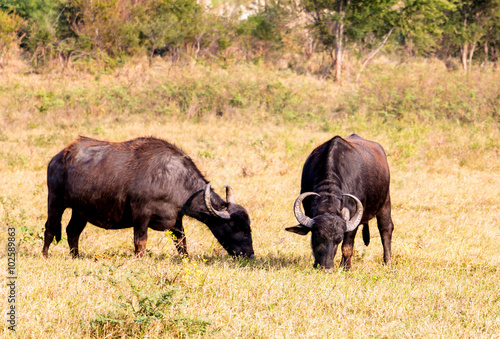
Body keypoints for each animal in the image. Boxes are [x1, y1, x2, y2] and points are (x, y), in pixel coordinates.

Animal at [42, 137, 254, 258]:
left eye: (248, 227)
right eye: (235, 226)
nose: (250, 255)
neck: (173, 180)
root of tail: (59, 157)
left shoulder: (176, 219)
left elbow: (182, 243)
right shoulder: (141, 215)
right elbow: (140, 242)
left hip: (80, 211)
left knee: (72, 231)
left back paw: (76, 256)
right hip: (55, 201)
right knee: (50, 228)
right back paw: (45, 255)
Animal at [288, 134, 392, 272]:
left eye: (338, 239)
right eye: (318, 236)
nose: (327, 268)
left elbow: (347, 247)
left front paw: (346, 267)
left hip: (385, 202)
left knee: (385, 229)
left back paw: (387, 262)